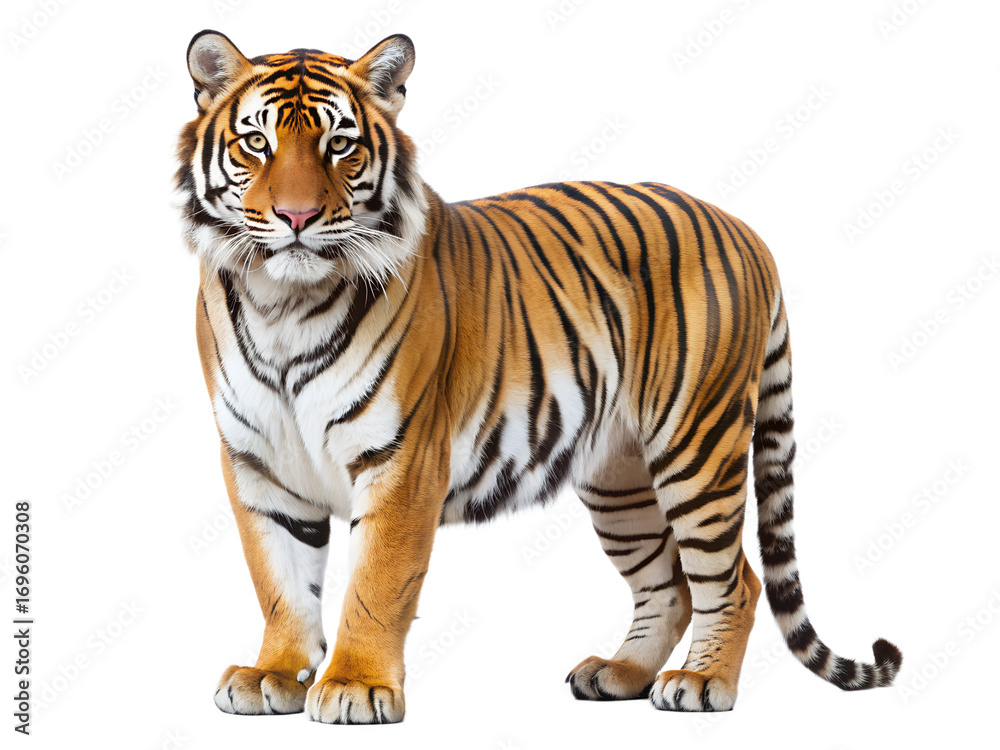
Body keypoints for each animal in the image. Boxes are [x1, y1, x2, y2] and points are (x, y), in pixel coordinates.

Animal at [175, 29, 902, 723]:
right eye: (256, 143)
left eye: (339, 145)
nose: (296, 218)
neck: (282, 304)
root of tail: (747, 230)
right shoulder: (258, 464)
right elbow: (280, 582)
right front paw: (273, 675)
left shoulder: (401, 459)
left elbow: (376, 583)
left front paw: (355, 685)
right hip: (620, 477)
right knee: (667, 584)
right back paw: (620, 673)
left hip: (697, 446)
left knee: (733, 581)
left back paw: (700, 683)